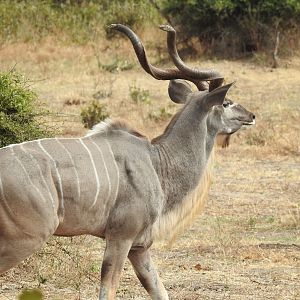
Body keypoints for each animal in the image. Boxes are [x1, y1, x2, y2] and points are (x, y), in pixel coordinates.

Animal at [0, 24, 254, 298]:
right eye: (226, 103)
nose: (251, 115)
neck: (158, 162)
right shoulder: (121, 237)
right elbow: (108, 289)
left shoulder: (139, 247)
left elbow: (159, 290)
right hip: (25, 238)